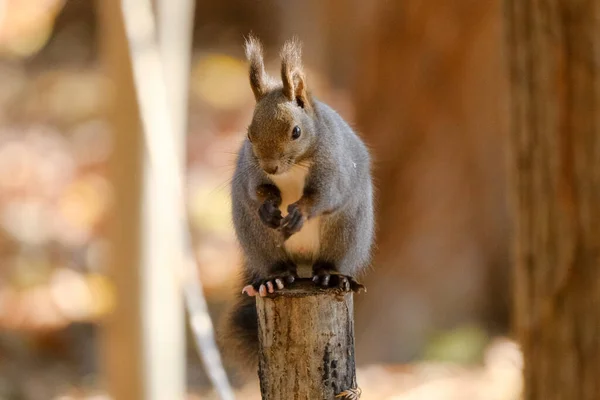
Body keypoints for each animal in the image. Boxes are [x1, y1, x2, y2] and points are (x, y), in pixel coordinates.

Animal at [218, 36, 372, 374]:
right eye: (249, 135)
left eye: (296, 132)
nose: (271, 166)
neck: (293, 169)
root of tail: (302, 263)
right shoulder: (251, 172)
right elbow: (257, 191)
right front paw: (269, 206)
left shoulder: (334, 167)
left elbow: (325, 196)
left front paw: (300, 212)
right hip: (258, 238)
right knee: (276, 264)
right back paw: (273, 281)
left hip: (345, 232)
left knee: (330, 259)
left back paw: (331, 276)